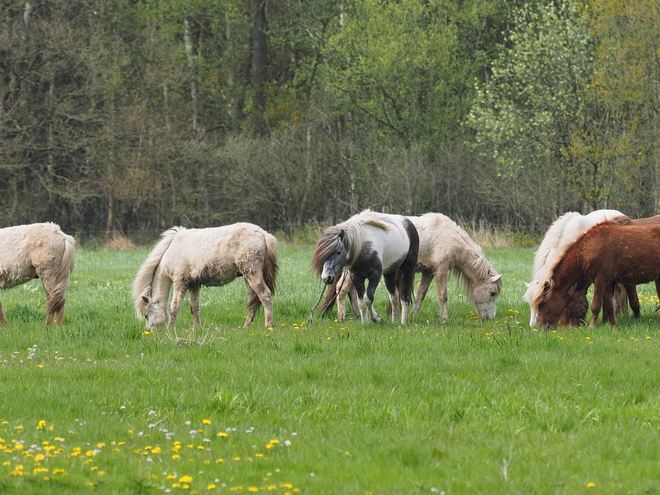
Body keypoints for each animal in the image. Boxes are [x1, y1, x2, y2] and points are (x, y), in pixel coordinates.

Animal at [133, 225, 278, 330]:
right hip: (247, 277)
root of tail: (262, 234)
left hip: (252, 274)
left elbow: (175, 306)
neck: (172, 251)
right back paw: (246, 326)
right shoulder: (194, 284)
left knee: (264, 295)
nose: (149, 331)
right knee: (253, 301)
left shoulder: (180, 283)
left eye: (146, 315)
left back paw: (268, 325)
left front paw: (170, 328)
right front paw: (197, 327)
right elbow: (194, 307)